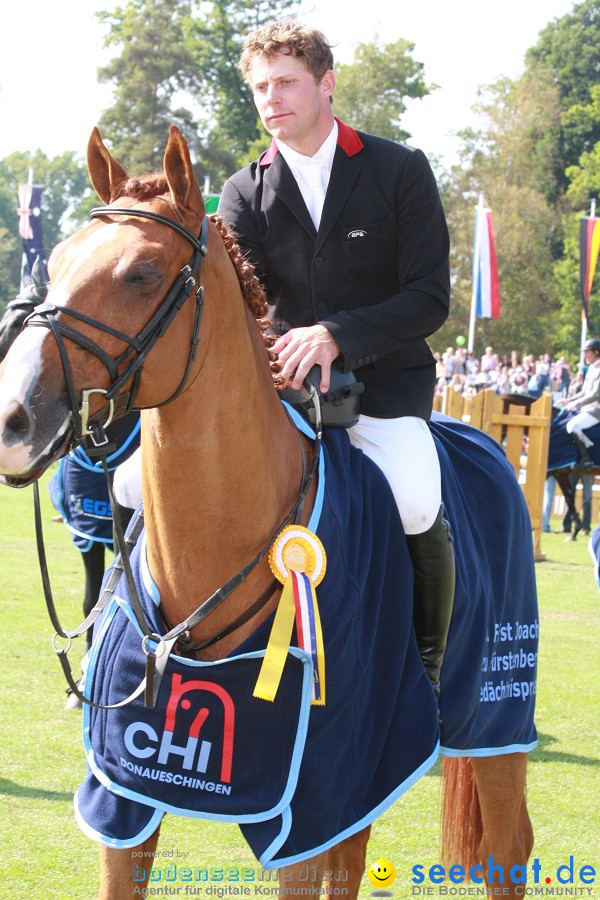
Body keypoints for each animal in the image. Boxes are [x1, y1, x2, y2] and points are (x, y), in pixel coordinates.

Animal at [0, 128, 536, 900]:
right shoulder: (126, 797)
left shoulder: (310, 802)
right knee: (356, 857)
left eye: (141, 273)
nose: (14, 420)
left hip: (494, 721)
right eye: (61, 260)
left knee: (506, 849)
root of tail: (488, 440)